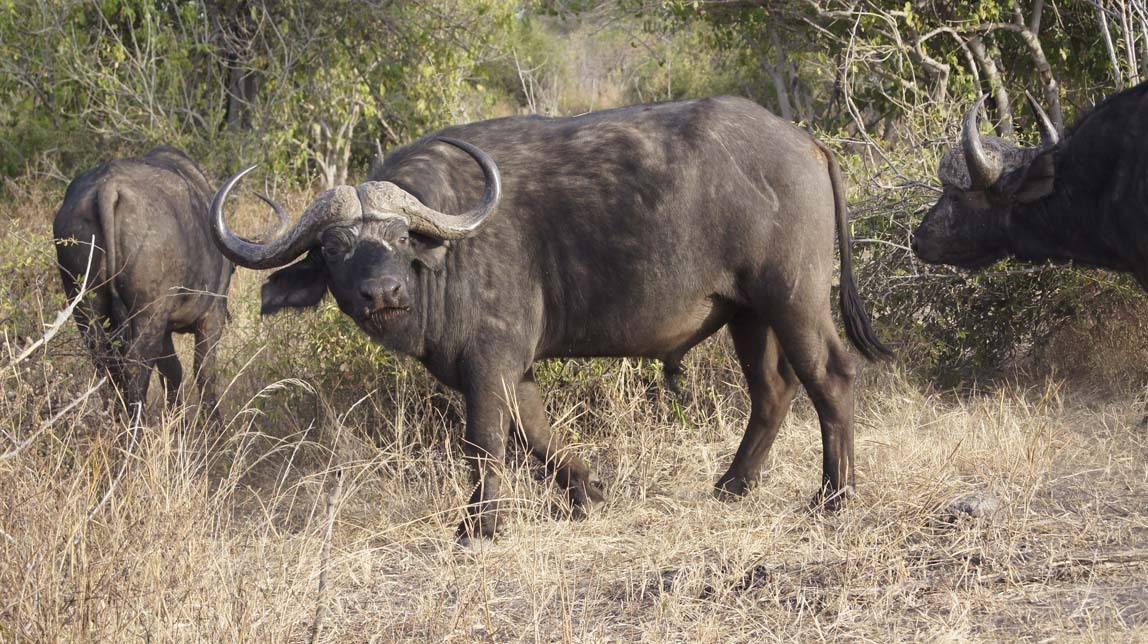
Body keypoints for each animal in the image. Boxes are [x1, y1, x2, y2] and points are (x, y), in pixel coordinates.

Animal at [53, 146, 230, 417]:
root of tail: (108, 187)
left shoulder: (165, 329)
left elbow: (172, 371)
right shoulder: (211, 315)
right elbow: (203, 372)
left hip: (85, 308)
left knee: (105, 364)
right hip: (149, 312)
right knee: (135, 366)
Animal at [215, 94, 895, 537]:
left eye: (401, 237)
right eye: (334, 248)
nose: (381, 293)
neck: (447, 256)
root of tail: (805, 141)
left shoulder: (488, 364)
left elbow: (486, 441)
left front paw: (481, 525)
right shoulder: (511, 370)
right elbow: (536, 436)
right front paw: (588, 491)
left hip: (794, 298)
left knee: (831, 377)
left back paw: (834, 496)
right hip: (746, 314)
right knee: (773, 391)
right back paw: (733, 486)